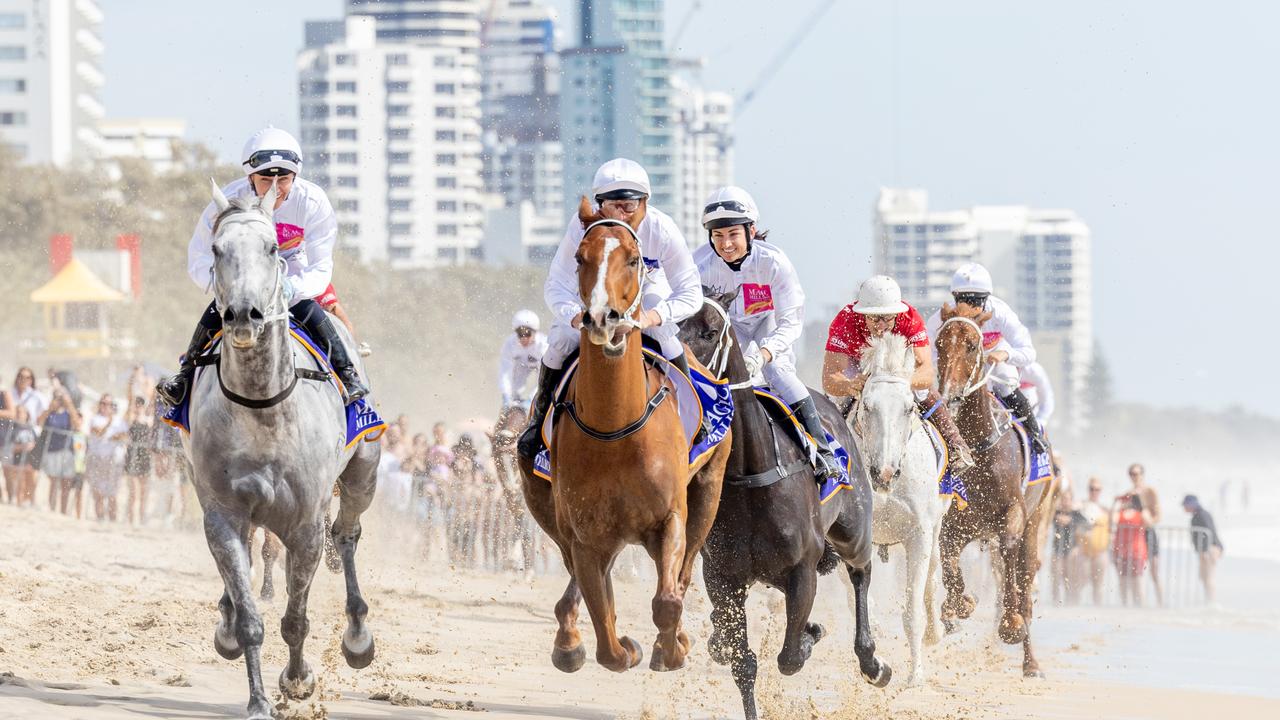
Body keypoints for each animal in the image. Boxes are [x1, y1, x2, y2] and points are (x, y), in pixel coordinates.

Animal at [184, 179, 378, 717]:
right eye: (217, 248)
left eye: (273, 247)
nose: (243, 315)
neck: (262, 408)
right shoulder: (223, 512)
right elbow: (252, 613)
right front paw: (257, 699)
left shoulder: (306, 522)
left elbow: (296, 617)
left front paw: (297, 680)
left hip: (363, 472)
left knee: (347, 535)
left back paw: (358, 635)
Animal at [512, 197, 732, 671]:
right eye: (580, 257)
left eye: (633, 259)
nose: (602, 319)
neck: (614, 432)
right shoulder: (584, 536)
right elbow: (606, 636)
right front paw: (615, 645)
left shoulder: (670, 517)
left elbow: (667, 601)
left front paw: (670, 649)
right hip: (546, 507)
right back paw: (569, 636)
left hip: (709, 489)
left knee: (684, 573)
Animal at [849, 330, 952, 681]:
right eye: (867, 406)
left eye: (909, 408)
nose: (885, 471)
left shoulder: (918, 534)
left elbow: (912, 612)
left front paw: (915, 677)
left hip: (936, 530)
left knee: (933, 579)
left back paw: (936, 633)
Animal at [936, 304, 1054, 676]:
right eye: (939, 343)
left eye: (972, 344)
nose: (949, 394)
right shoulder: (954, 525)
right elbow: (950, 567)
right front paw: (959, 604)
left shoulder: (1013, 516)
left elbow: (1010, 560)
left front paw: (1011, 624)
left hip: (1038, 518)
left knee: (1025, 580)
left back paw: (1031, 661)